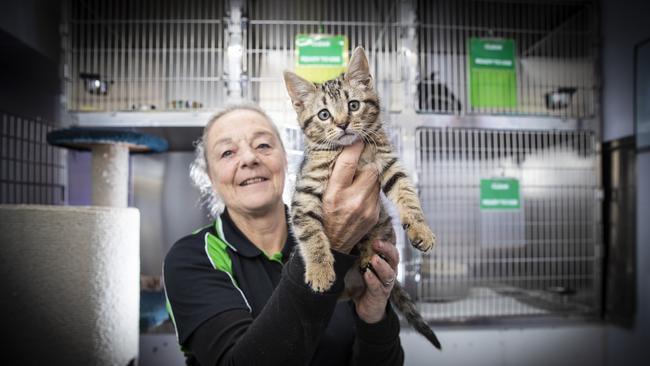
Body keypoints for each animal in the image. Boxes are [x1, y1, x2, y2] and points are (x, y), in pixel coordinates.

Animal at [284, 47, 440, 350]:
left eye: (354, 105)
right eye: (324, 114)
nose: (343, 124)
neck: (346, 151)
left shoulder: (389, 164)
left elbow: (407, 193)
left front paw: (421, 228)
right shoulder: (305, 191)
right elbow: (310, 232)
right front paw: (320, 270)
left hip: (382, 225)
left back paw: (368, 255)